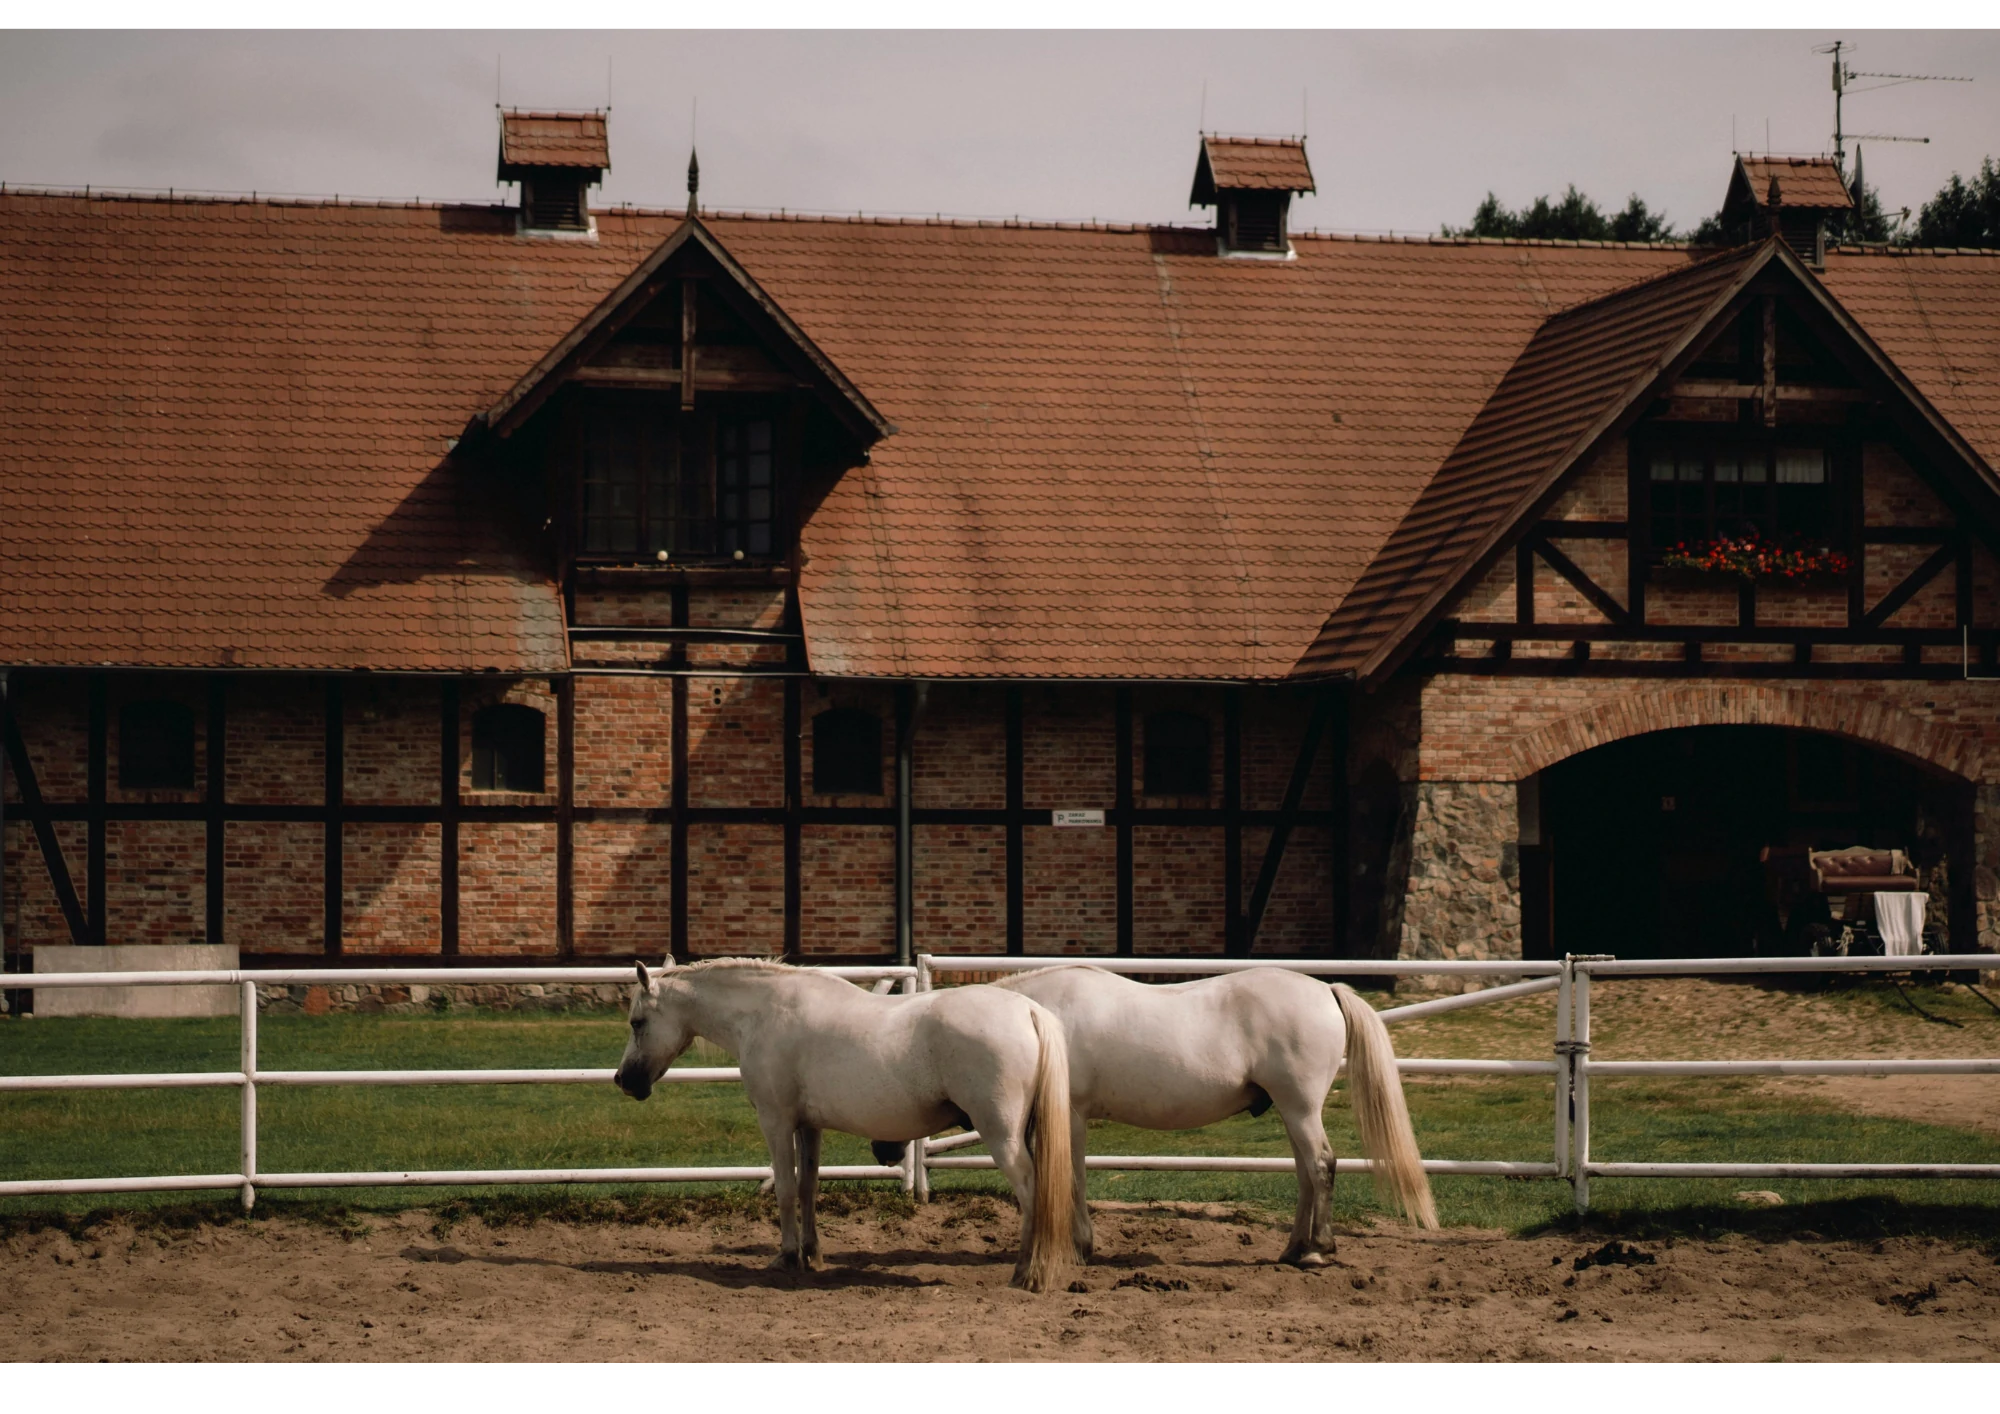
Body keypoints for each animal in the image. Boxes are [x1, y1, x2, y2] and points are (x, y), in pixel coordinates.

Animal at [615, 959, 1075, 1292]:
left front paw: (786, 1257)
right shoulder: (808, 1126)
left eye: (637, 1022)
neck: (764, 1013)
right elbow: (808, 1187)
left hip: (1002, 1136)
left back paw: (1028, 1275)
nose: (623, 1080)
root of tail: (1027, 1011)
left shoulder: (776, 1121)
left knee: (1032, 1192)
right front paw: (812, 1255)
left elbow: (785, 1189)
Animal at [993, 966, 1437, 1267]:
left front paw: (1081, 1246)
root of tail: (1327, 990)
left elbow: (1073, 1178)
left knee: (1322, 1165)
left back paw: (1317, 1250)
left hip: (1301, 1107)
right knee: (1306, 1173)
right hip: (1293, 1111)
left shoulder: (1072, 1112)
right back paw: (1295, 1249)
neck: (1043, 1016)